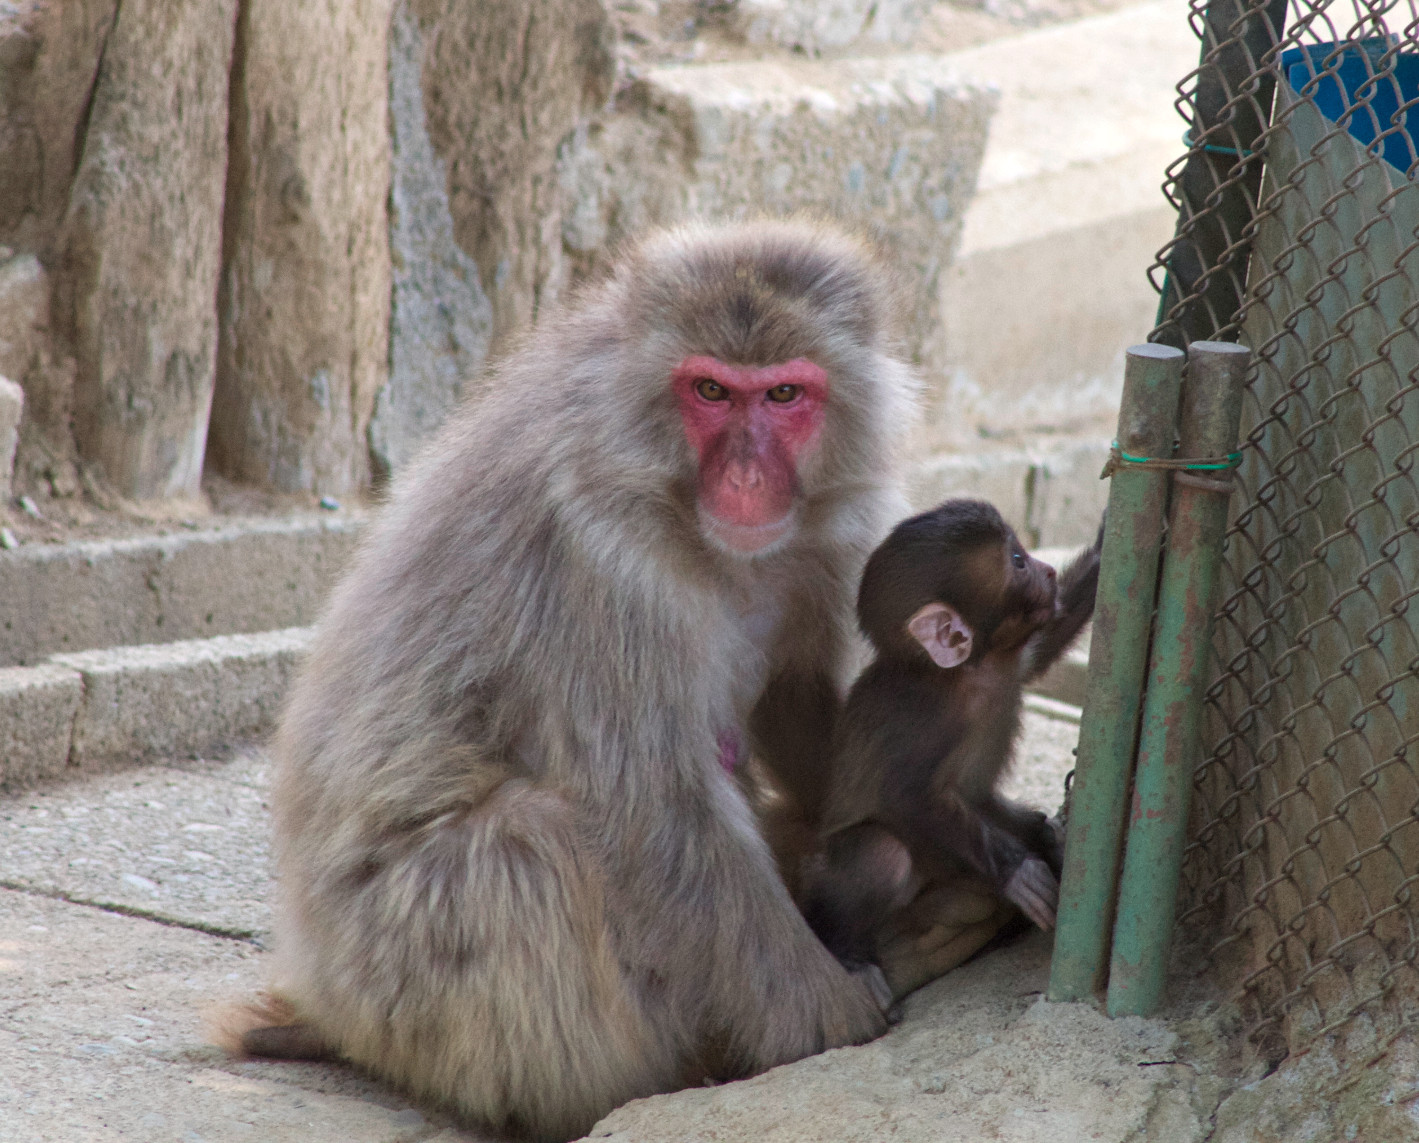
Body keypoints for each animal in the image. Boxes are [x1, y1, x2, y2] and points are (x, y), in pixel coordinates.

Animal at [216, 220, 935, 1142]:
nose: (743, 478)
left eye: (782, 394)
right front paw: (823, 1014)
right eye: (709, 389)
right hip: (398, 975)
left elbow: (799, 701)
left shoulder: (836, 533)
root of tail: (326, 998)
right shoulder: (603, 560)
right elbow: (655, 811)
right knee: (535, 849)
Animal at [801, 498, 1102, 974]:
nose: (1048, 570)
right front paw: (1016, 871)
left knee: (1033, 826)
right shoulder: (917, 717)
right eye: (1018, 560)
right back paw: (849, 952)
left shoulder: (1006, 659)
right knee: (882, 852)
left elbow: (1051, 635)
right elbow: (906, 797)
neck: (963, 674)